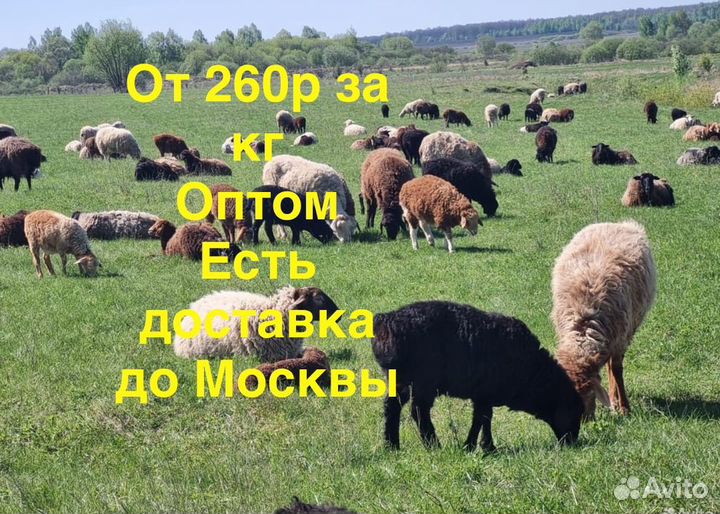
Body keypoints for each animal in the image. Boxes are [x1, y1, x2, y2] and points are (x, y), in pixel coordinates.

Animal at [372, 301, 584, 450]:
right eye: (573, 413)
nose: (572, 442)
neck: (532, 372)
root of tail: (385, 321)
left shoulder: (483, 394)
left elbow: (483, 419)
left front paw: (481, 446)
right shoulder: (485, 391)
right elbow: (482, 418)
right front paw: (478, 446)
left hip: (399, 379)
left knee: (392, 406)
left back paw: (392, 446)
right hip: (424, 380)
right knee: (418, 411)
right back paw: (433, 445)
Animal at [552, 220, 656, 418]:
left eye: (590, 395)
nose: (584, 421)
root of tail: (621, 223)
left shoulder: (620, 338)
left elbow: (616, 369)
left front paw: (624, 407)